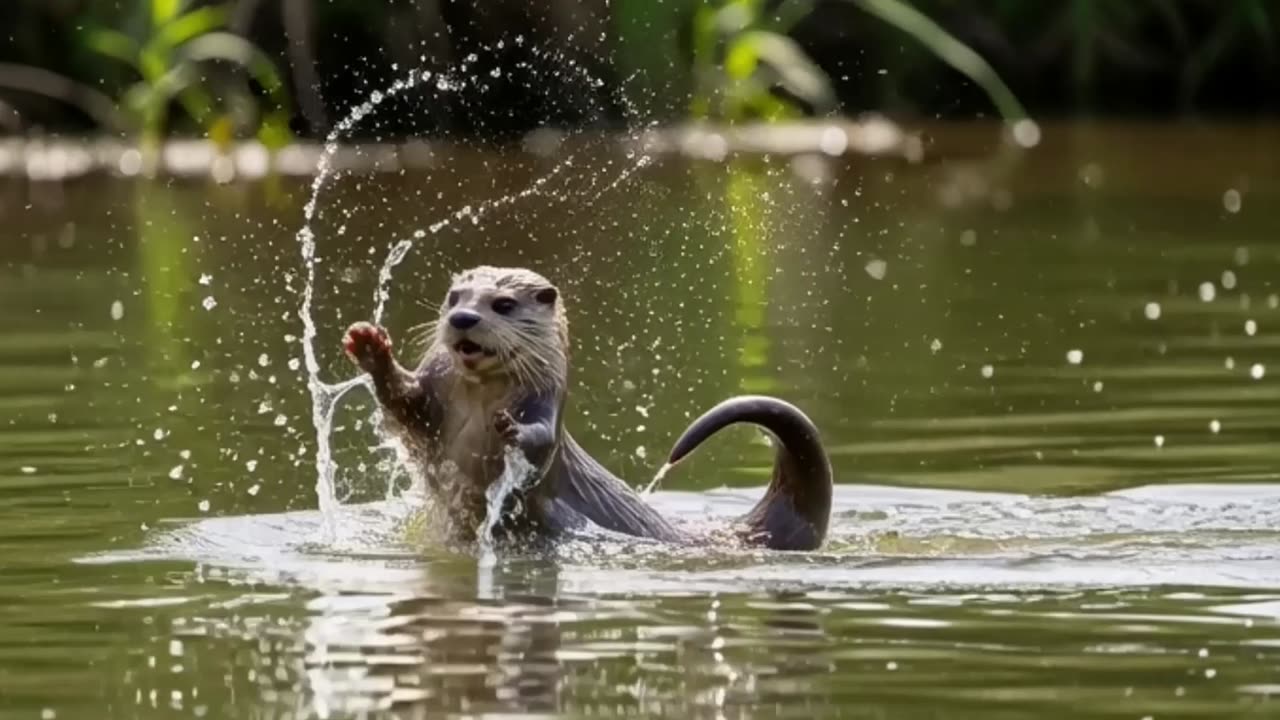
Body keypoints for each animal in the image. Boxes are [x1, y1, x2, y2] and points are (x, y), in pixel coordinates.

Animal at [342, 265, 832, 551]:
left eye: (503, 304)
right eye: (455, 298)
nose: (463, 319)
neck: (480, 400)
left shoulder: (545, 403)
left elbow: (540, 445)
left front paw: (512, 430)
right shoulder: (432, 402)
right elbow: (403, 405)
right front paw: (370, 346)